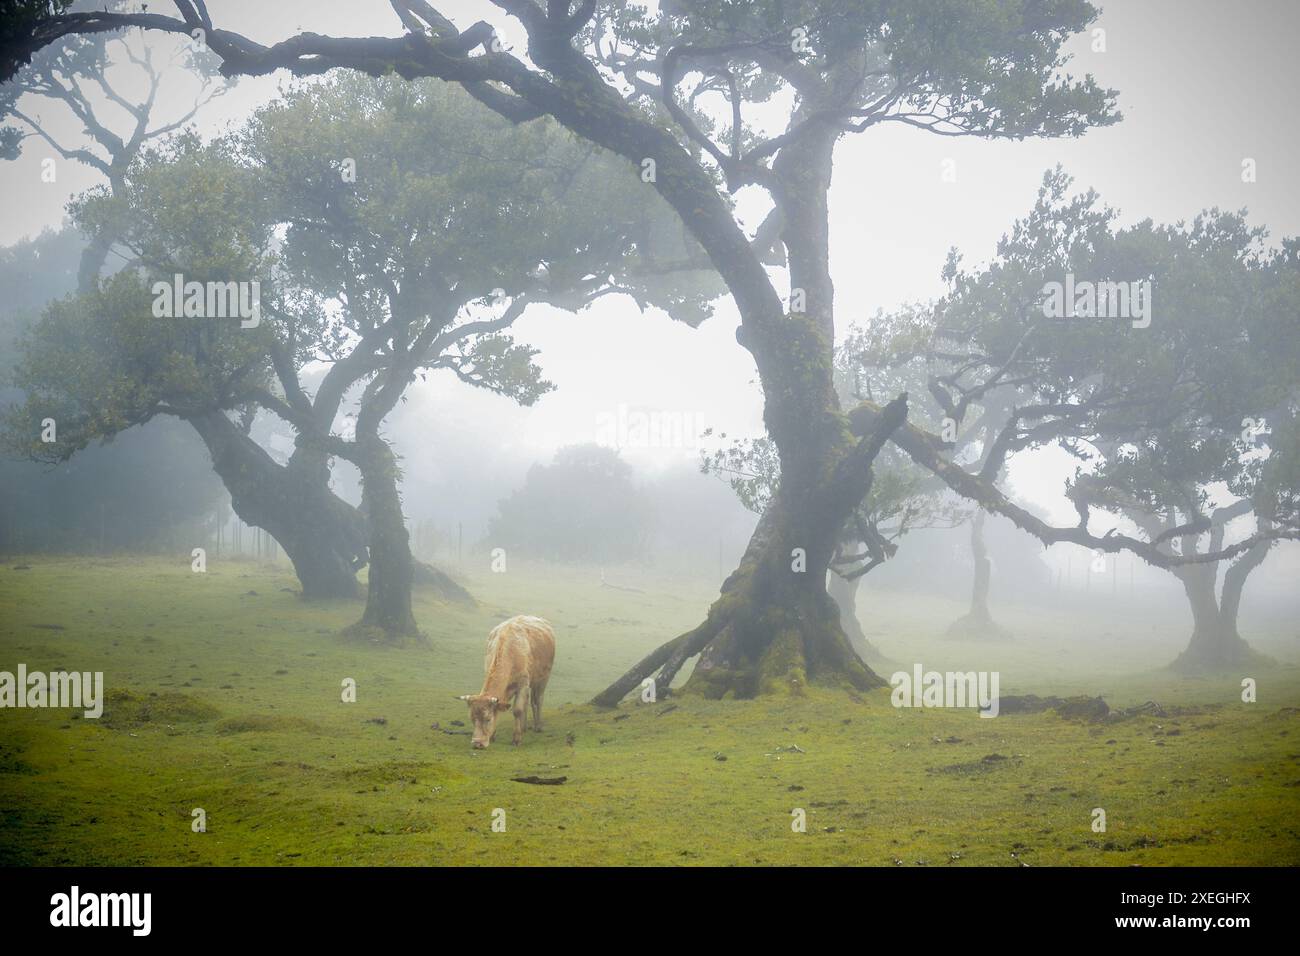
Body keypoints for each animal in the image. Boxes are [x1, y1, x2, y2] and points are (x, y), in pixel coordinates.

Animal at [457, 616, 553, 749]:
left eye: (488, 719)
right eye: (471, 719)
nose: (477, 743)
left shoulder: (523, 684)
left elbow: (517, 710)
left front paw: (516, 739)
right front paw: (493, 736)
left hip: (542, 679)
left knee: (537, 700)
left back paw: (538, 726)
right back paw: (523, 727)